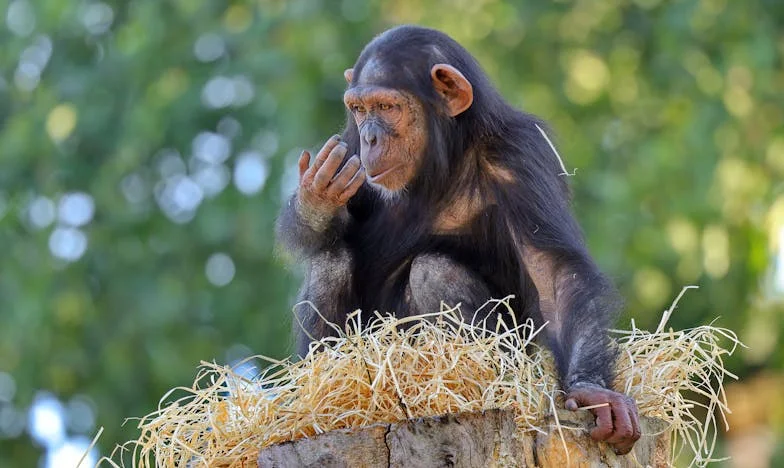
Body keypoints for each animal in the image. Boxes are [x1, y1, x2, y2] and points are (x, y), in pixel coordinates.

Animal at [278, 24, 640, 454]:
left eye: (387, 107)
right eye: (360, 109)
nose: (370, 138)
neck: (446, 156)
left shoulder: (521, 155)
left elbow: (552, 271)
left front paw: (593, 392)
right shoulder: (346, 144)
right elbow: (326, 232)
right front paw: (317, 197)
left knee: (434, 270)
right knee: (329, 260)